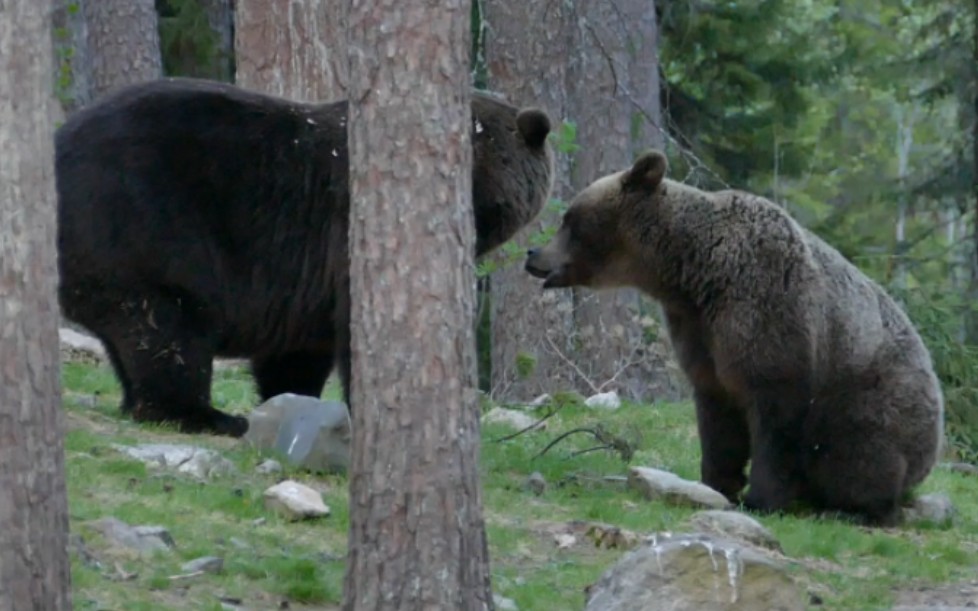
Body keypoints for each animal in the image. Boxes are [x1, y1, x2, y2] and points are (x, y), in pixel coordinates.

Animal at [57, 77, 552, 440]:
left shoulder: (299, 283)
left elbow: (296, 353)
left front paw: (292, 404)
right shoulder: (339, 240)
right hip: (147, 229)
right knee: (170, 330)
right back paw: (207, 415)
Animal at [528, 149, 944, 524]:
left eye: (569, 219)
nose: (533, 253)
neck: (693, 275)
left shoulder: (768, 309)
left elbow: (775, 413)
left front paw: (760, 498)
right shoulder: (699, 331)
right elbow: (717, 415)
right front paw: (716, 483)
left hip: (872, 392)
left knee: (859, 452)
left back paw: (859, 507)